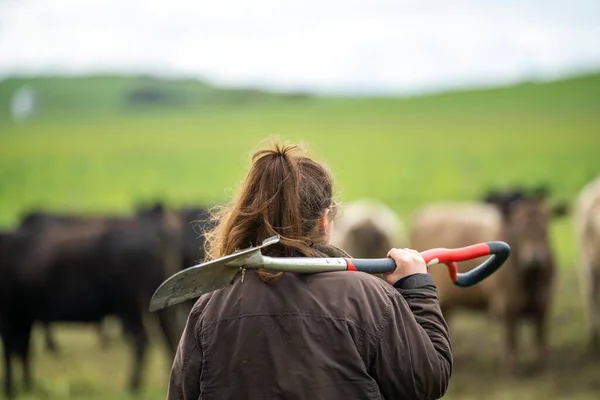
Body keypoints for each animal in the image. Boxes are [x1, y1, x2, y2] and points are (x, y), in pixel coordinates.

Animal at [0, 209, 184, 396]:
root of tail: (155, 232)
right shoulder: (23, 315)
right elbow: (23, 349)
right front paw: (27, 384)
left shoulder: (9, 314)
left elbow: (10, 350)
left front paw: (9, 388)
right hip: (154, 306)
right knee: (168, 334)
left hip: (129, 305)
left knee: (142, 340)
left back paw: (133, 384)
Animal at [410, 190, 564, 376]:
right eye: (519, 228)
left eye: (545, 225)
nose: (535, 259)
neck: (530, 277)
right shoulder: (507, 306)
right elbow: (511, 341)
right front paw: (510, 371)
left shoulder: (543, 304)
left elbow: (540, 340)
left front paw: (542, 368)